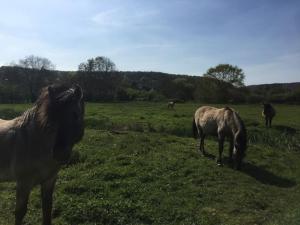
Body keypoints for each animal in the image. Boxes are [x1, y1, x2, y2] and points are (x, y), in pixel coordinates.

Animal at [0, 83, 84, 224]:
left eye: (76, 115)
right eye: (52, 118)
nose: (60, 154)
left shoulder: (49, 181)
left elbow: (47, 209)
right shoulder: (23, 183)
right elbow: (20, 213)